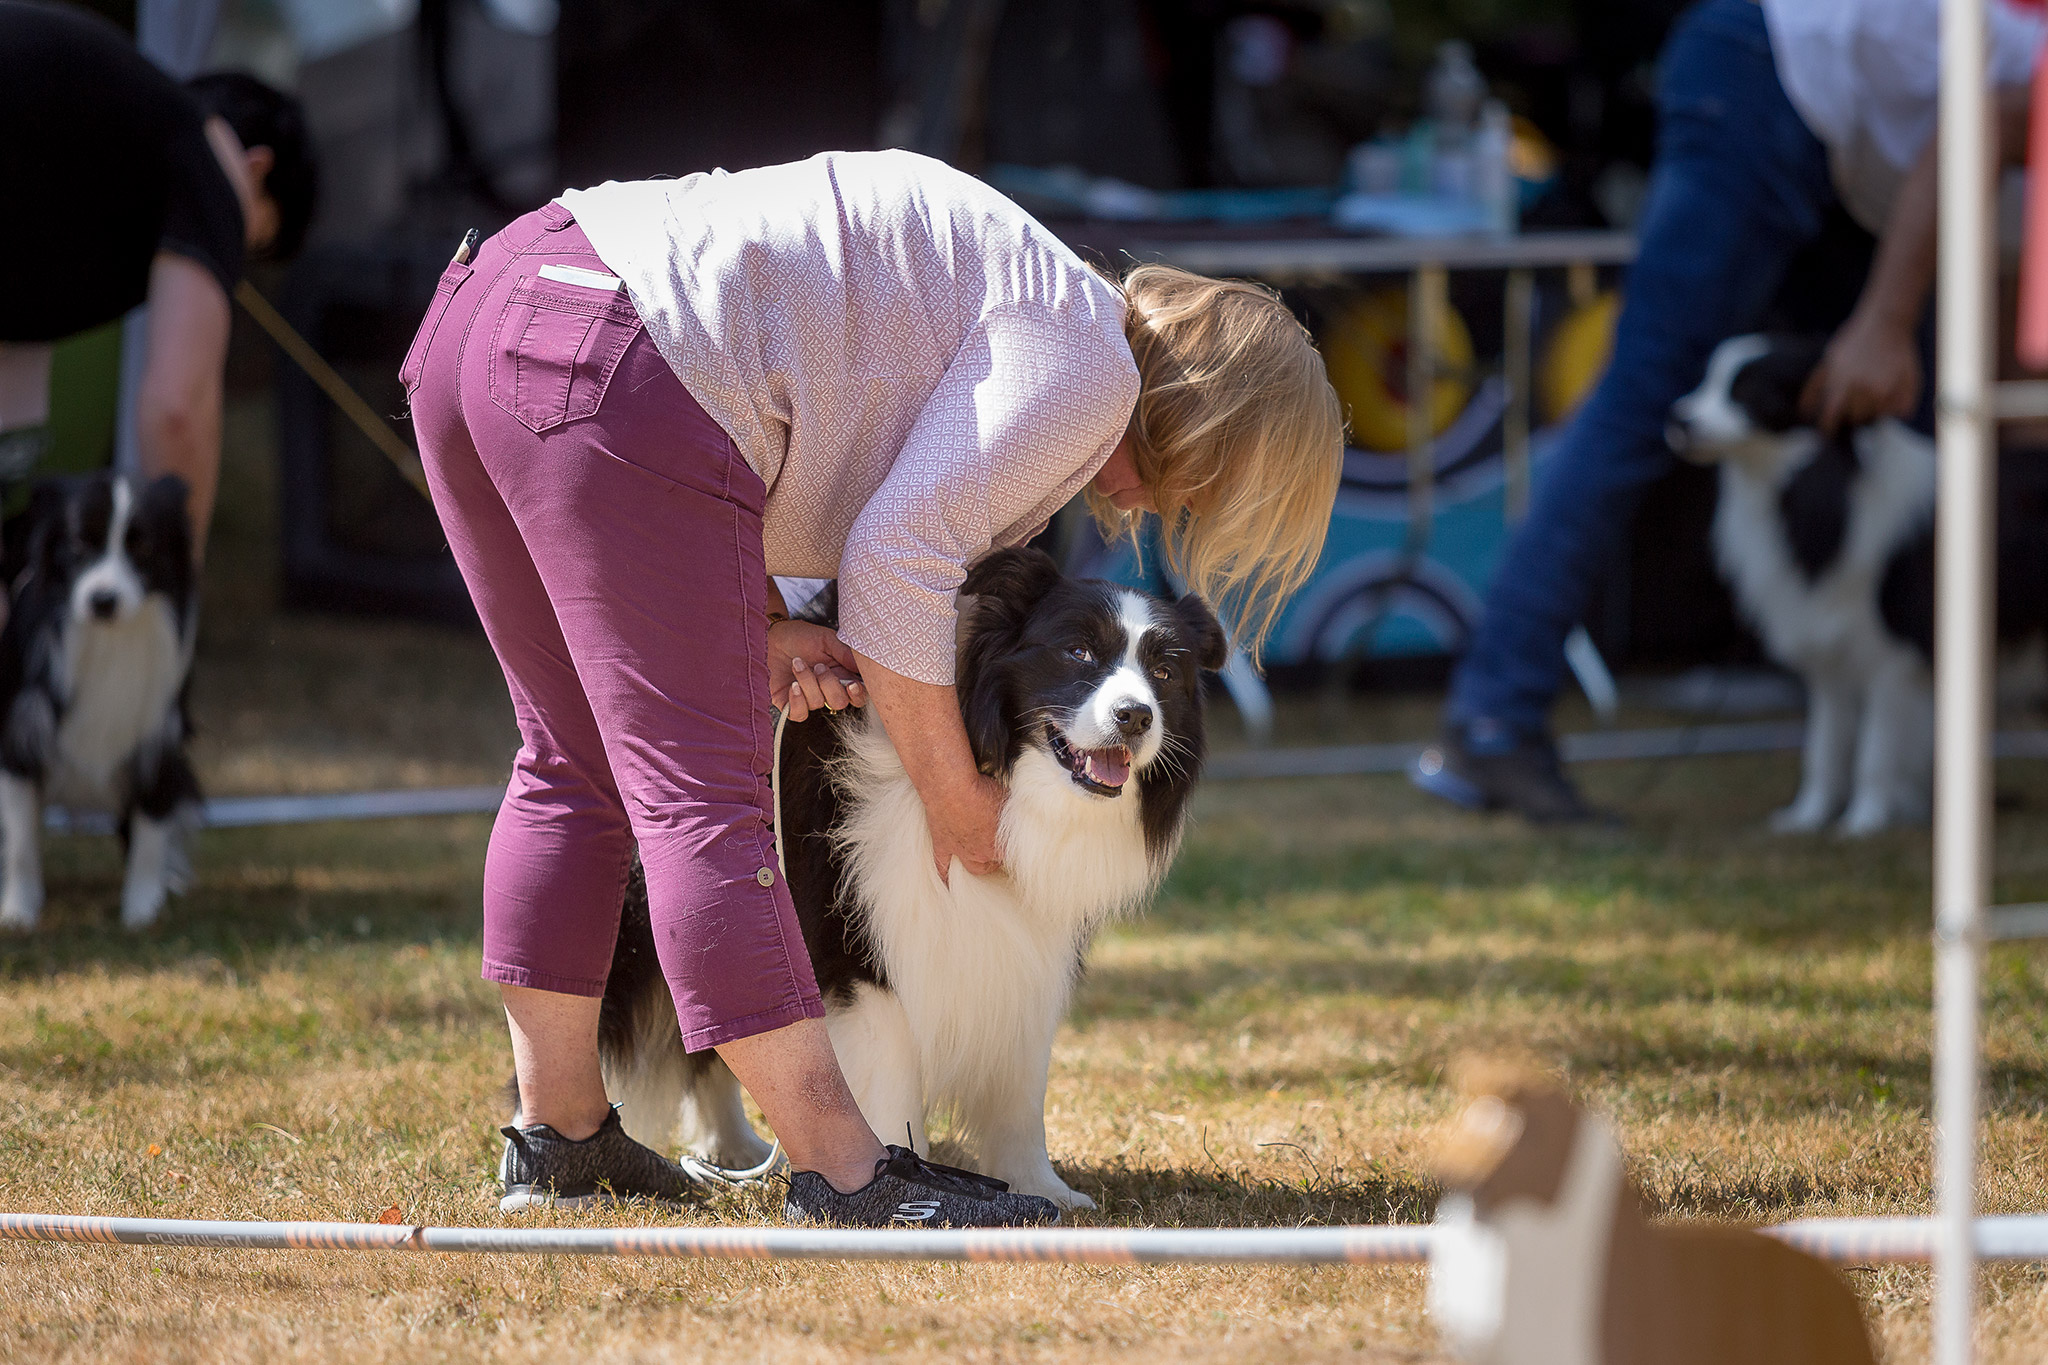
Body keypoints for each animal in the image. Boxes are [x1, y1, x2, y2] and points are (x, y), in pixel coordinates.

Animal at [0, 470, 199, 929]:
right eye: (78, 545)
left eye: (143, 548)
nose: (103, 601)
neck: (108, 642)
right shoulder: (20, 734)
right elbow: (20, 838)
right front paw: (18, 910)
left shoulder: (160, 737)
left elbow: (151, 825)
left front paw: (142, 909)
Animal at [581, 544, 1212, 1203]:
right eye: (1078, 651)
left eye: (1165, 671)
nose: (1135, 716)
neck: (988, 770)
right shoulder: (860, 949)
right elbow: (890, 1076)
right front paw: (896, 1181)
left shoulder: (1029, 948)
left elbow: (1020, 1088)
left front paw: (1042, 1188)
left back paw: (733, 1150)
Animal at [1662, 335, 1933, 839]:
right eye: (1707, 380)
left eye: (1745, 389)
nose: (1678, 418)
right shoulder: (1829, 657)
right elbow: (1825, 748)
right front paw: (1810, 817)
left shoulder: (1890, 656)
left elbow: (1874, 750)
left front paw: (1864, 822)